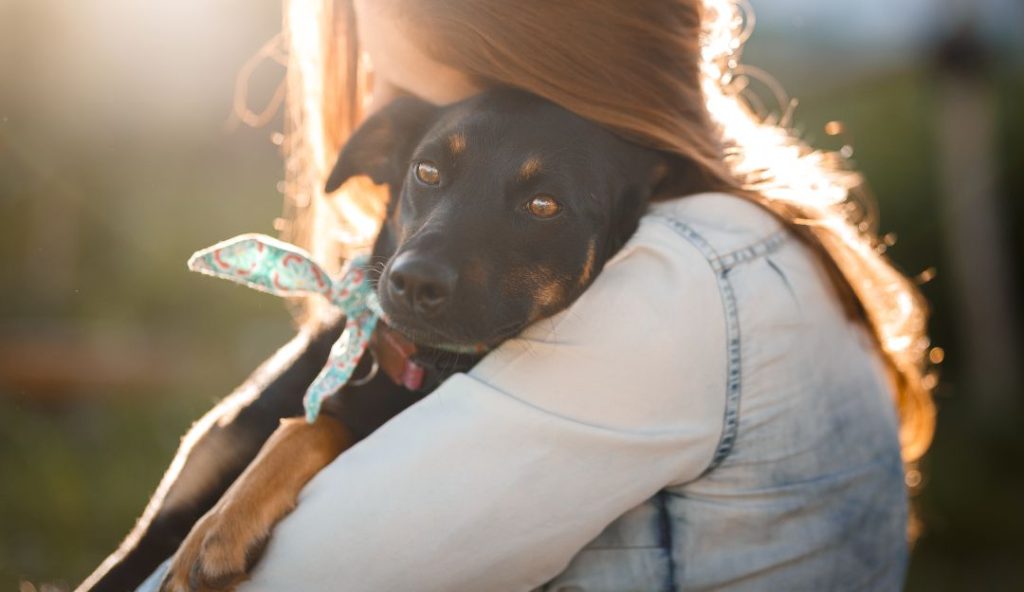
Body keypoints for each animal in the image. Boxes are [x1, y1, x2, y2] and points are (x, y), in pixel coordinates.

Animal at [79, 87, 696, 589]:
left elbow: (313, 426)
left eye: (544, 204)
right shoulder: (151, 530)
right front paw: (226, 518)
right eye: (426, 172)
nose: (413, 280)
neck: (412, 363)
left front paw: (223, 526)